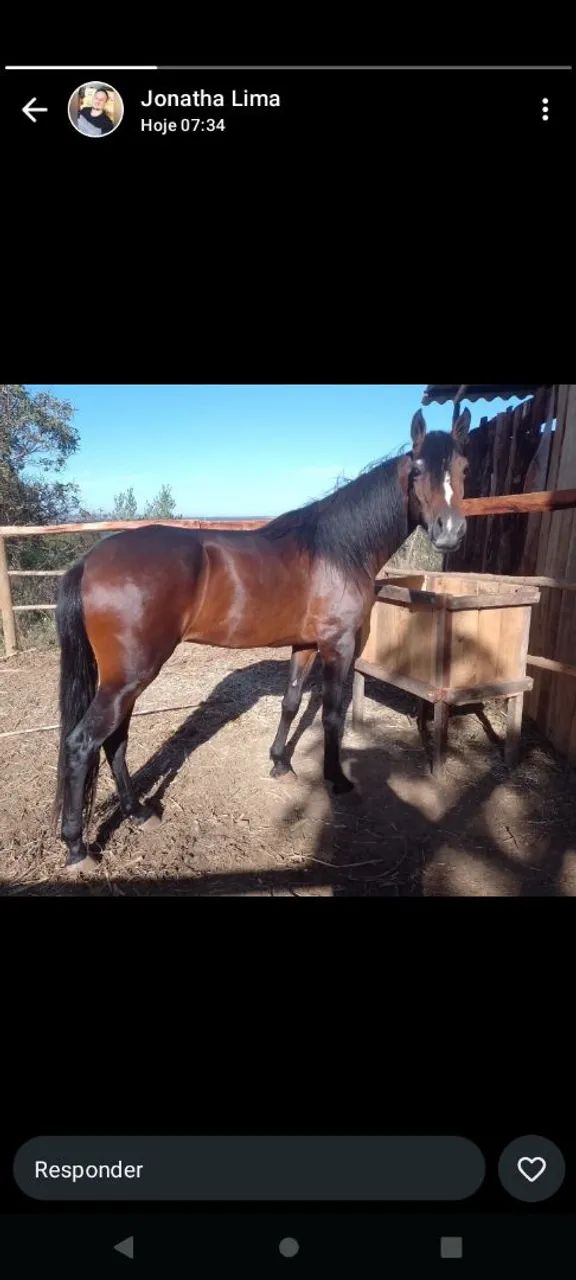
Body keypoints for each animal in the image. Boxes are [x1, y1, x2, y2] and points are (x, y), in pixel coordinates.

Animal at [52, 408, 470, 865]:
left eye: (464, 468)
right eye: (417, 470)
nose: (450, 531)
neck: (339, 551)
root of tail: (89, 561)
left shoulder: (305, 645)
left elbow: (290, 703)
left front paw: (280, 763)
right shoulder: (337, 646)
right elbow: (332, 715)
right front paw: (337, 780)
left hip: (124, 682)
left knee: (115, 742)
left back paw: (137, 812)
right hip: (128, 678)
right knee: (82, 743)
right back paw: (77, 846)